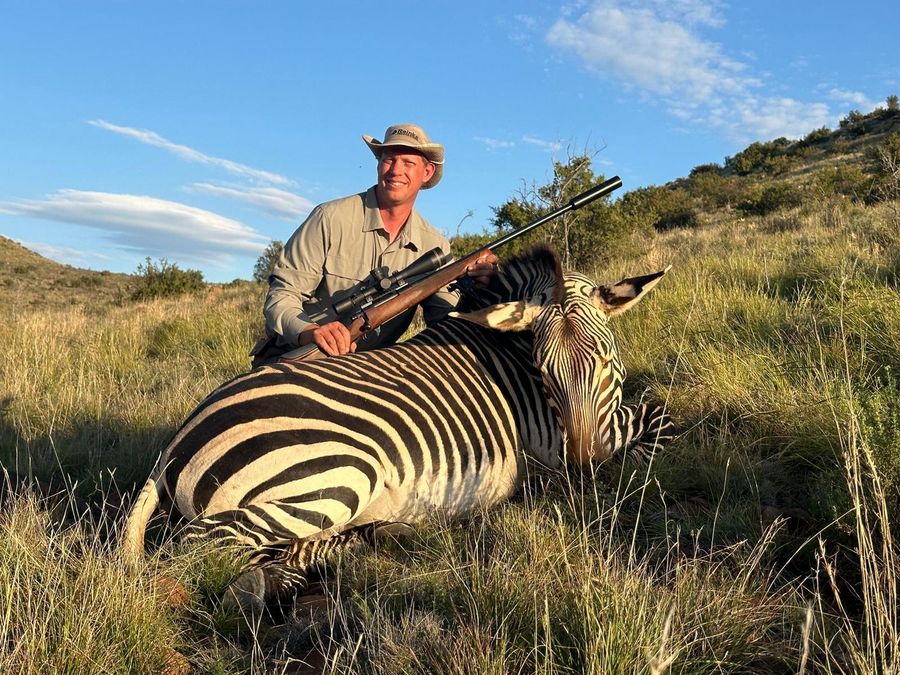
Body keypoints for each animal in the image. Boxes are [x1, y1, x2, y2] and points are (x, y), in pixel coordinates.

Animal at [123, 246, 673, 612]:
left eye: (603, 359)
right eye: (544, 369)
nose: (583, 470)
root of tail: (174, 445)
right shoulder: (571, 434)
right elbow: (660, 417)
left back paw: (379, 536)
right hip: (339, 473)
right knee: (204, 547)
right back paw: (277, 581)